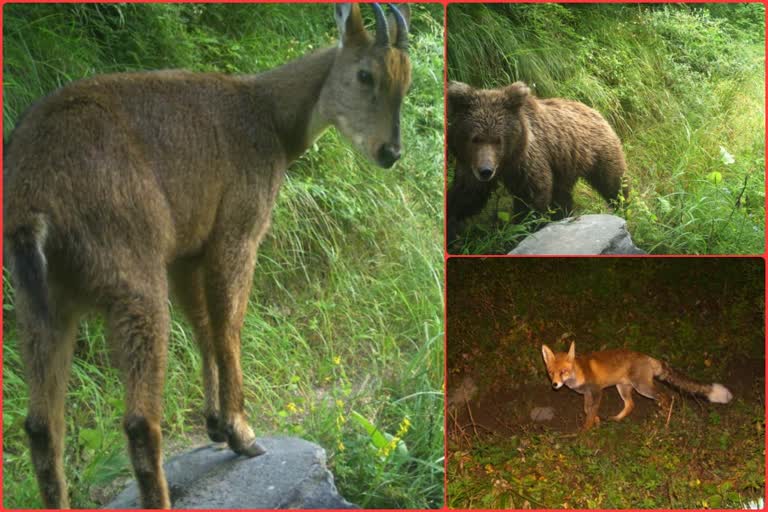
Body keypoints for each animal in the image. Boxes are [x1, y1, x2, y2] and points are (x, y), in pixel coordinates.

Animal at [448, 81, 628, 243]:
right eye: (475, 139)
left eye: (498, 140)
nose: (486, 171)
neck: (508, 160)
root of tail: (594, 110)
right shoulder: (470, 166)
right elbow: (467, 196)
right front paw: (452, 226)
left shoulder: (529, 160)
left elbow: (532, 196)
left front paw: (521, 230)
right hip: (564, 166)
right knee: (562, 195)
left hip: (598, 151)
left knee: (613, 182)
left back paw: (623, 206)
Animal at [540, 342, 732, 430]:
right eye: (551, 373)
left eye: (564, 371)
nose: (555, 384)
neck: (579, 373)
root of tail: (648, 357)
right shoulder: (587, 394)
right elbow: (588, 410)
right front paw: (597, 422)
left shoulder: (597, 391)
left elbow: (591, 412)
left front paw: (586, 431)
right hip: (623, 388)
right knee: (631, 405)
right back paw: (618, 419)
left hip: (642, 388)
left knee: (666, 396)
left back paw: (664, 420)